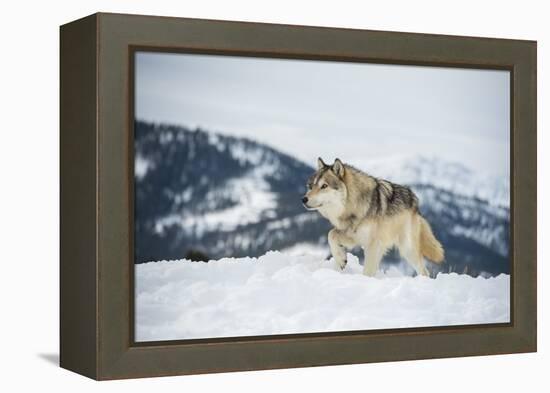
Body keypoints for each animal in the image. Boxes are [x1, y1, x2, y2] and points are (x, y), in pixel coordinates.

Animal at [304, 157, 446, 276]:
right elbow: (331, 234)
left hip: (407, 248)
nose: (303, 199)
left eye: (324, 186)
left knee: (424, 271)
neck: (354, 205)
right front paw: (341, 260)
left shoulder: (372, 244)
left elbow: (367, 271)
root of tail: (415, 201)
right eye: (311, 186)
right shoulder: (354, 237)